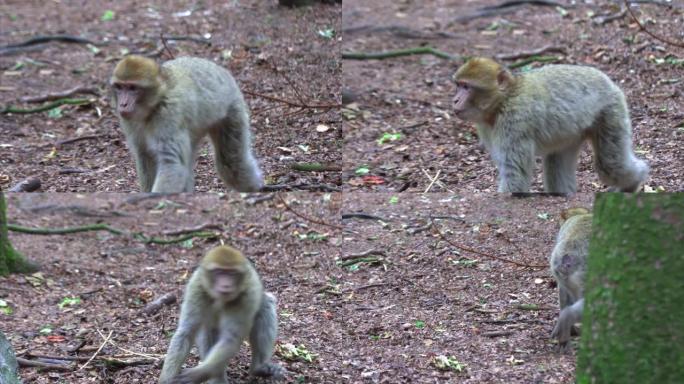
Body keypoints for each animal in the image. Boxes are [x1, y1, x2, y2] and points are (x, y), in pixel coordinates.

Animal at [111, 55, 264, 194]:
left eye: (132, 88)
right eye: (119, 87)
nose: (123, 104)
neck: (155, 104)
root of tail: (219, 69)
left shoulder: (169, 116)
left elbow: (173, 164)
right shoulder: (129, 122)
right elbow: (145, 155)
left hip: (232, 108)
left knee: (232, 163)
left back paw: (257, 188)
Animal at [160, 246, 284, 384]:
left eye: (232, 273)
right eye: (219, 272)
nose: (226, 284)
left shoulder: (247, 296)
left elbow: (230, 339)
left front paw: (196, 374)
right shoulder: (197, 287)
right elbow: (185, 333)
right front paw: (166, 380)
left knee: (265, 305)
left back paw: (258, 367)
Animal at [452, 57, 648, 195]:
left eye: (466, 87)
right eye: (458, 85)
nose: (455, 100)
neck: (503, 100)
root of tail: (608, 81)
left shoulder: (514, 121)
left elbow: (515, 176)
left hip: (609, 110)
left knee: (610, 165)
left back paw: (635, 181)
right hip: (572, 134)